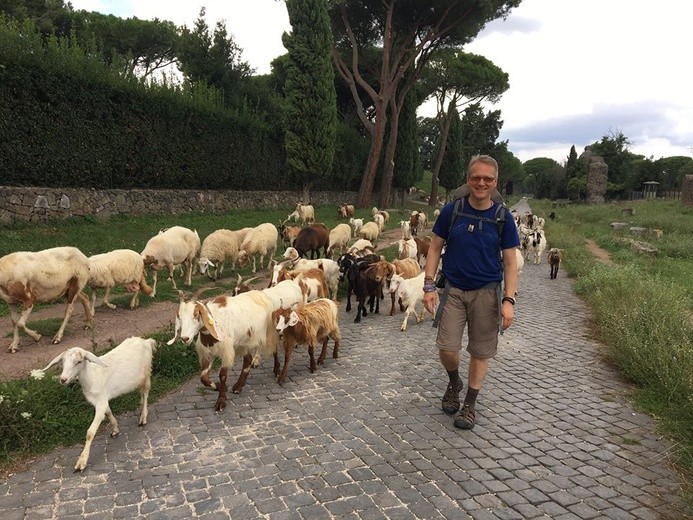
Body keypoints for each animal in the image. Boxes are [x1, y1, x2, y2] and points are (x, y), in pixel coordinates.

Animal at [41, 338, 158, 472]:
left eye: (79, 361)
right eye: (63, 361)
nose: (63, 379)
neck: (91, 377)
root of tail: (146, 341)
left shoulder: (101, 401)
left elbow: (90, 432)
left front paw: (81, 462)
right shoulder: (102, 399)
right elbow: (108, 412)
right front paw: (115, 429)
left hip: (147, 373)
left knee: (145, 393)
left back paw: (143, 417)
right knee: (141, 394)